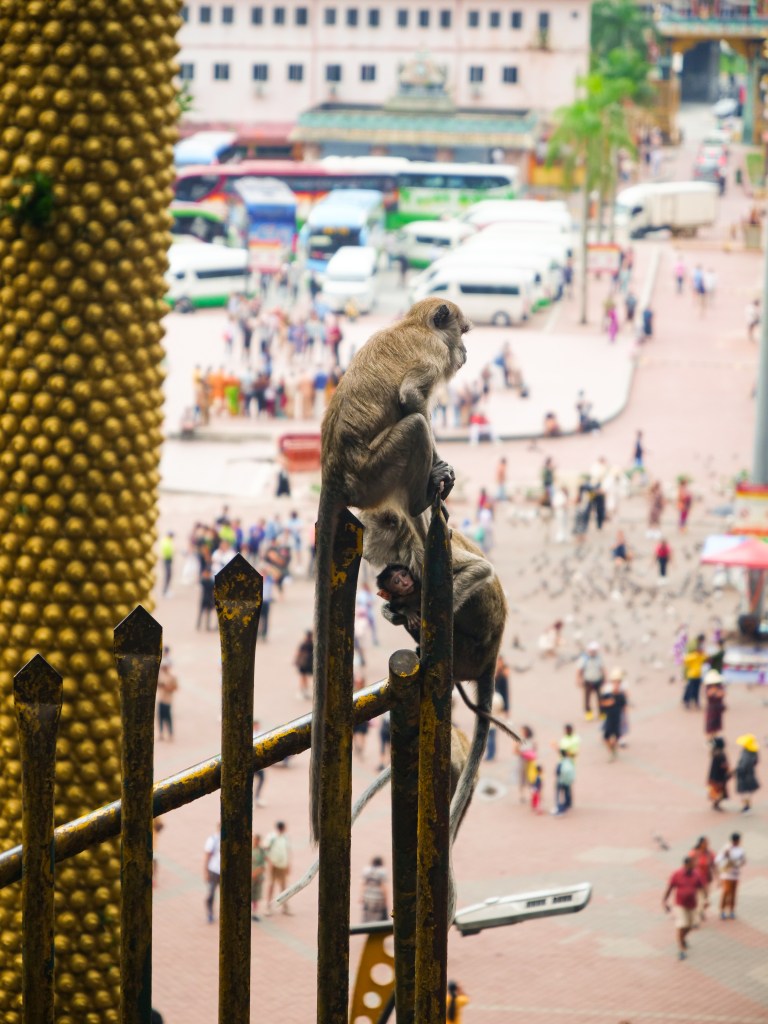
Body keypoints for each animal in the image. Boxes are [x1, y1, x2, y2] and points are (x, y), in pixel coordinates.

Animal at [310, 299, 472, 843]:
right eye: (462, 333)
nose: (466, 350)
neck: (412, 324)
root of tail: (333, 471)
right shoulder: (429, 357)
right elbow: (411, 399)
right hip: (374, 473)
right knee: (415, 426)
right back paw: (424, 496)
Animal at [360, 505, 508, 844]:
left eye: (367, 527)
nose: (364, 551)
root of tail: (492, 654)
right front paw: (395, 609)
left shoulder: (420, 554)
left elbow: (479, 569)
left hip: (468, 651)